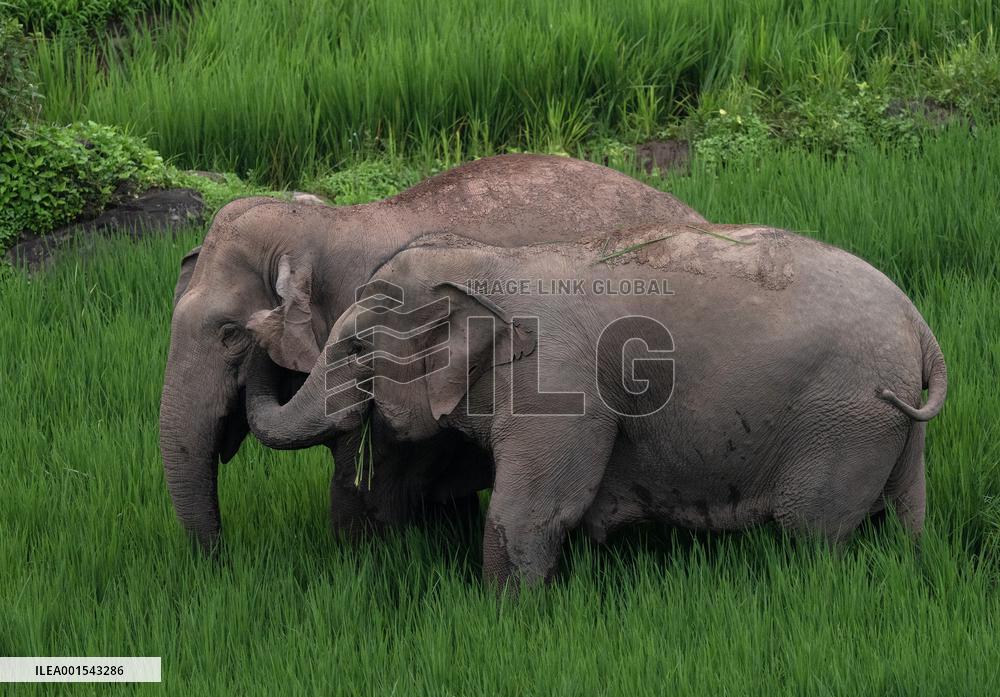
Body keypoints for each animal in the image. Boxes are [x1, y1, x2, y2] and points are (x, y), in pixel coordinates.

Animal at [245, 223, 947, 592]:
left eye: (358, 347)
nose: (252, 326)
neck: (489, 260)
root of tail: (921, 329)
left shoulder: (559, 380)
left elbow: (532, 512)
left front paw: (503, 620)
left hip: (845, 418)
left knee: (814, 536)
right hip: (888, 424)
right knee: (906, 518)